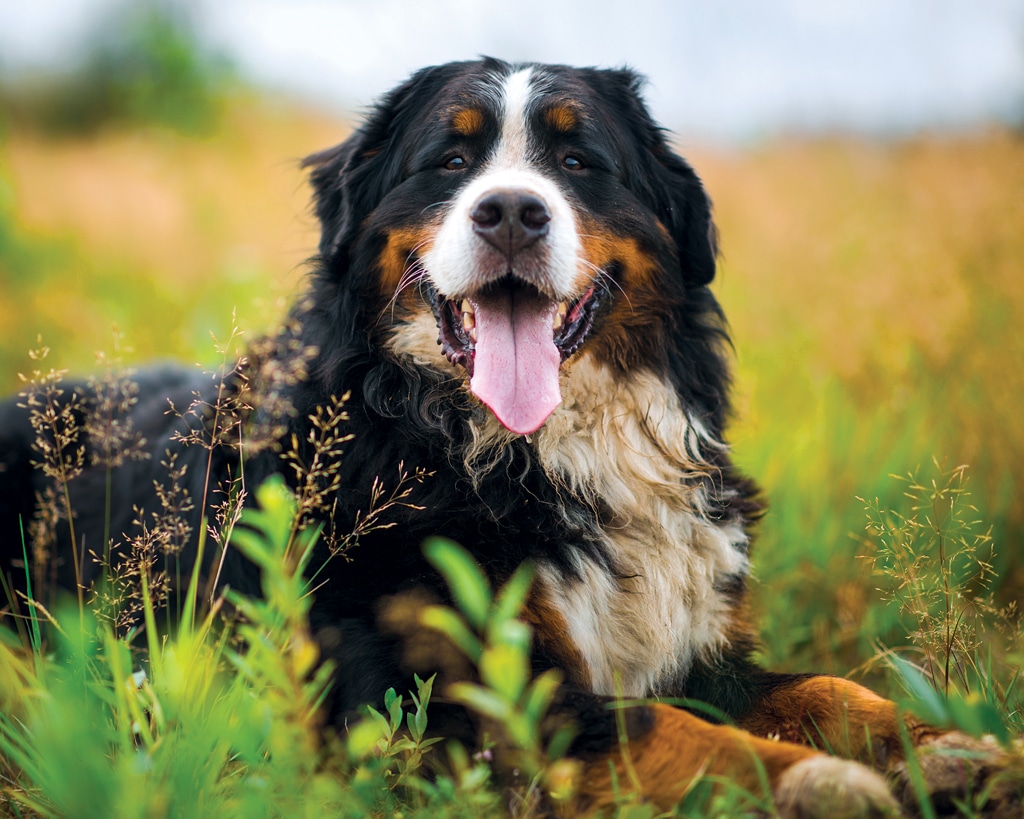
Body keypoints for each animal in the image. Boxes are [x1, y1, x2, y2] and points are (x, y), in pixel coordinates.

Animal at [0, 59, 1011, 818]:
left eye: (577, 158)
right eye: (450, 159)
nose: (514, 212)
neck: (524, 452)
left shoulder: (699, 650)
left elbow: (825, 689)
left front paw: (950, 750)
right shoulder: (440, 698)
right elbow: (667, 729)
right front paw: (817, 782)